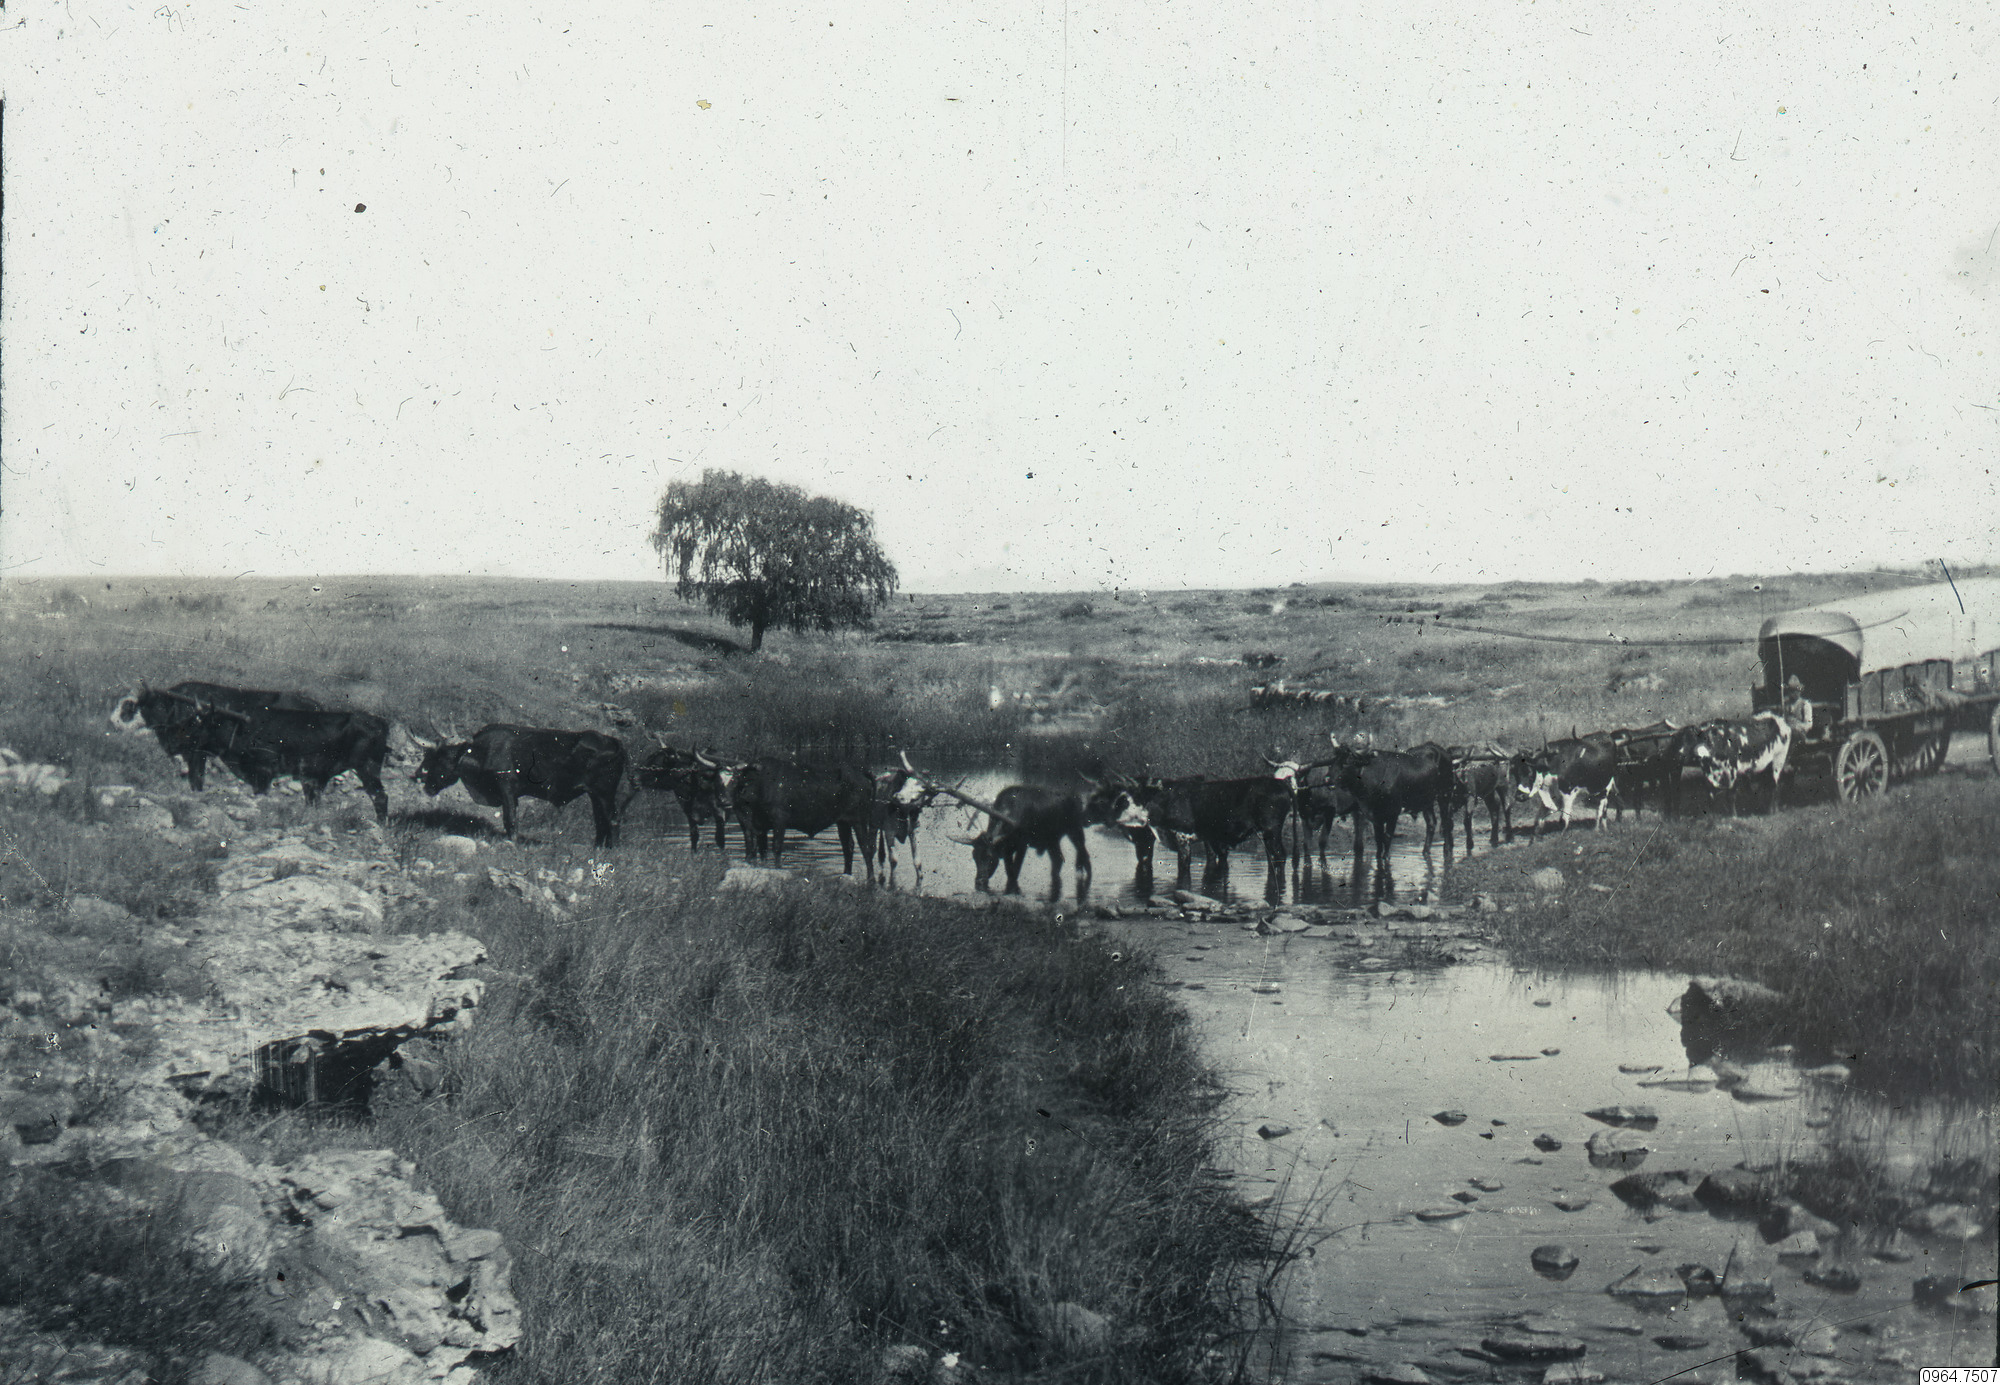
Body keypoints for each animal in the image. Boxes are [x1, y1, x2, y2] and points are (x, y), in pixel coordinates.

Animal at [414, 724, 627, 847]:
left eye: (441, 758)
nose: (422, 780)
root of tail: (614, 741)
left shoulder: (507, 789)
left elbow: (510, 819)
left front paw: (512, 842)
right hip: (595, 795)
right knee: (600, 820)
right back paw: (598, 848)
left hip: (604, 793)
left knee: (612, 819)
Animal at [727, 757, 880, 879]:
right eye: (736, 781)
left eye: (747, 780)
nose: (731, 799)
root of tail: (859, 771)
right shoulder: (758, 827)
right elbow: (758, 849)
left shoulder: (779, 821)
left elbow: (776, 846)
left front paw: (778, 868)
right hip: (842, 822)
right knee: (848, 846)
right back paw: (846, 875)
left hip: (859, 820)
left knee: (866, 847)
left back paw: (870, 879)